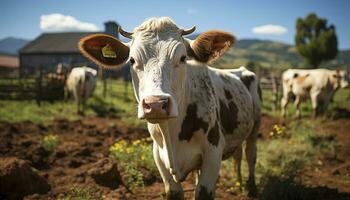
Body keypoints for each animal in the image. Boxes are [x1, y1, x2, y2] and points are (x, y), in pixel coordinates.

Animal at [78, 17, 260, 200]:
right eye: (132, 60)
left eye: (183, 58)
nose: (156, 104)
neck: (171, 134)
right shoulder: (159, 157)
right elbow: (174, 191)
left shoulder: (213, 152)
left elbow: (203, 191)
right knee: (237, 156)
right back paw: (238, 182)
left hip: (255, 126)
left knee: (250, 154)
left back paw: (250, 187)